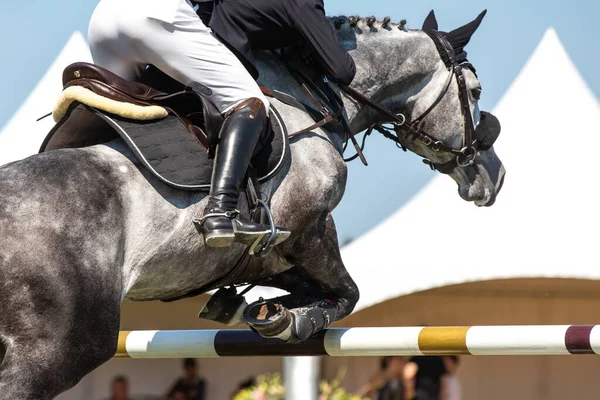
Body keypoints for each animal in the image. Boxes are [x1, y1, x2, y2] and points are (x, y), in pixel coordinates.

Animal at [0, 10, 504, 398]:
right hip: (54, 354)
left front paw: (262, 308)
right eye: (476, 91)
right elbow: (348, 293)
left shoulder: (264, 257)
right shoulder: (310, 229)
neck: (311, 99)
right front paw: (292, 320)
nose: (494, 176)